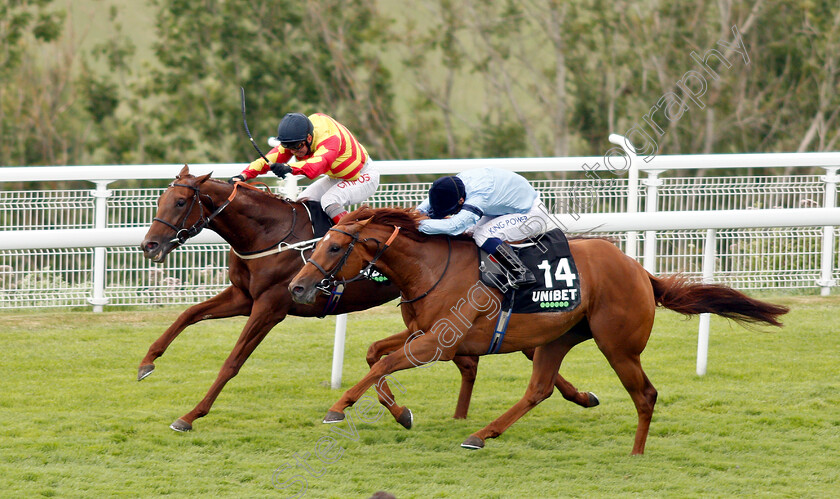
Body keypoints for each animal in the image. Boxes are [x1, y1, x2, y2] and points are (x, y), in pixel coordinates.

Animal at [288, 205, 788, 456]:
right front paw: (400, 411)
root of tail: (641, 272)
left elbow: (383, 362)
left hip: (617, 345)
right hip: (558, 338)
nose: (297, 286)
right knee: (539, 389)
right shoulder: (425, 336)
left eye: (333, 247)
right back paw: (481, 434)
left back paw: (636, 453)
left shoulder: (436, 344)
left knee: (645, 394)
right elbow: (376, 353)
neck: (430, 268)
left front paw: (338, 408)